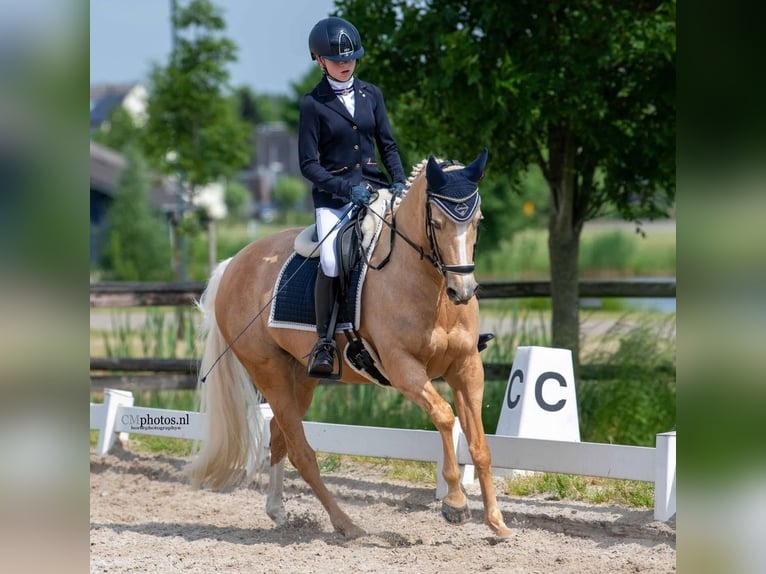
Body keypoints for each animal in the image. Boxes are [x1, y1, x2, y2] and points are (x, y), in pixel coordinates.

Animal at [184, 148, 516, 540]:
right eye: (435, 223)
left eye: (478, 221)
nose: (462, 292)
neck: (429, 288)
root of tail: (235, 262)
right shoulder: (403, 369)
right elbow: (445, 417)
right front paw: (455, 504)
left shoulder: (466, 367)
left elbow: (479, 446)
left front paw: (496, 521)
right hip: (269, 372)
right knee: (301, 451)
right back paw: (345, 524)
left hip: (302, 375)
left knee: (279, 436)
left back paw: (278, 511)